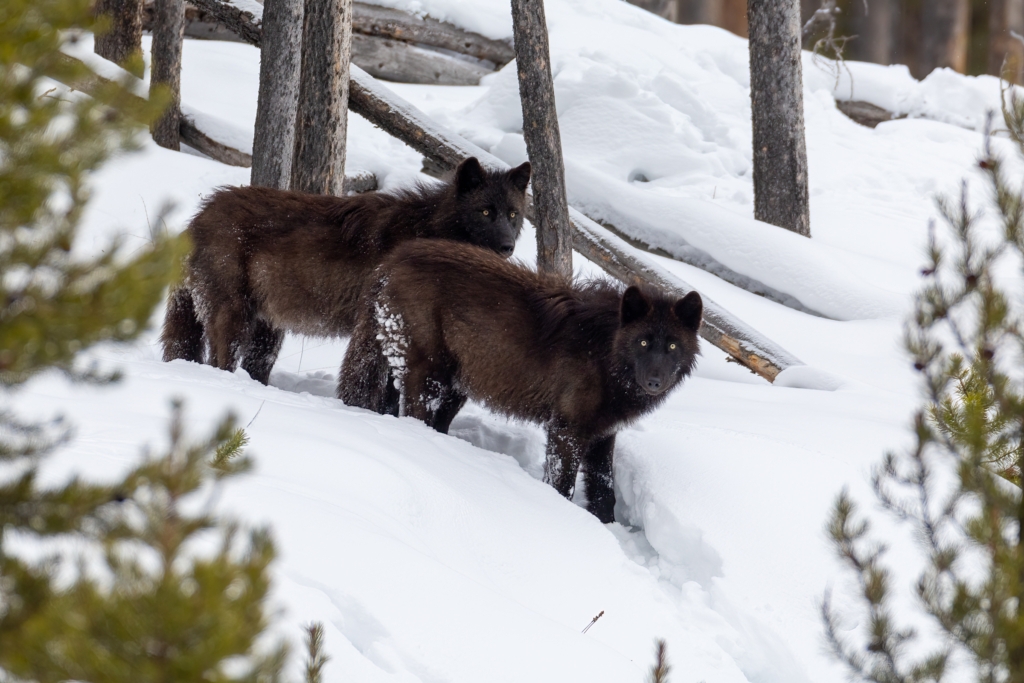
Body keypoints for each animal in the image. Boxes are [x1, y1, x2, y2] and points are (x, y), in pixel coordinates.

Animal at [160, 158, 531, 384]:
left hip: (267, 332)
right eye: (485, 212)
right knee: (219, 362)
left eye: (513, 214)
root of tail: (198, 215)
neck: (429, 229)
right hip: (234, 320)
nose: (507, 248)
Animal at [338, 240, 702, 522]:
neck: (605, 354)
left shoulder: (603, 437)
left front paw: (607, 529)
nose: (655, 382)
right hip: (431, 380)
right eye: (643, 343)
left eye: (672, 346)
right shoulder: (566, 432)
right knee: (414, 417)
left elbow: (605, 493)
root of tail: (391, 260)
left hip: (455, 386)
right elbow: (563, 486)